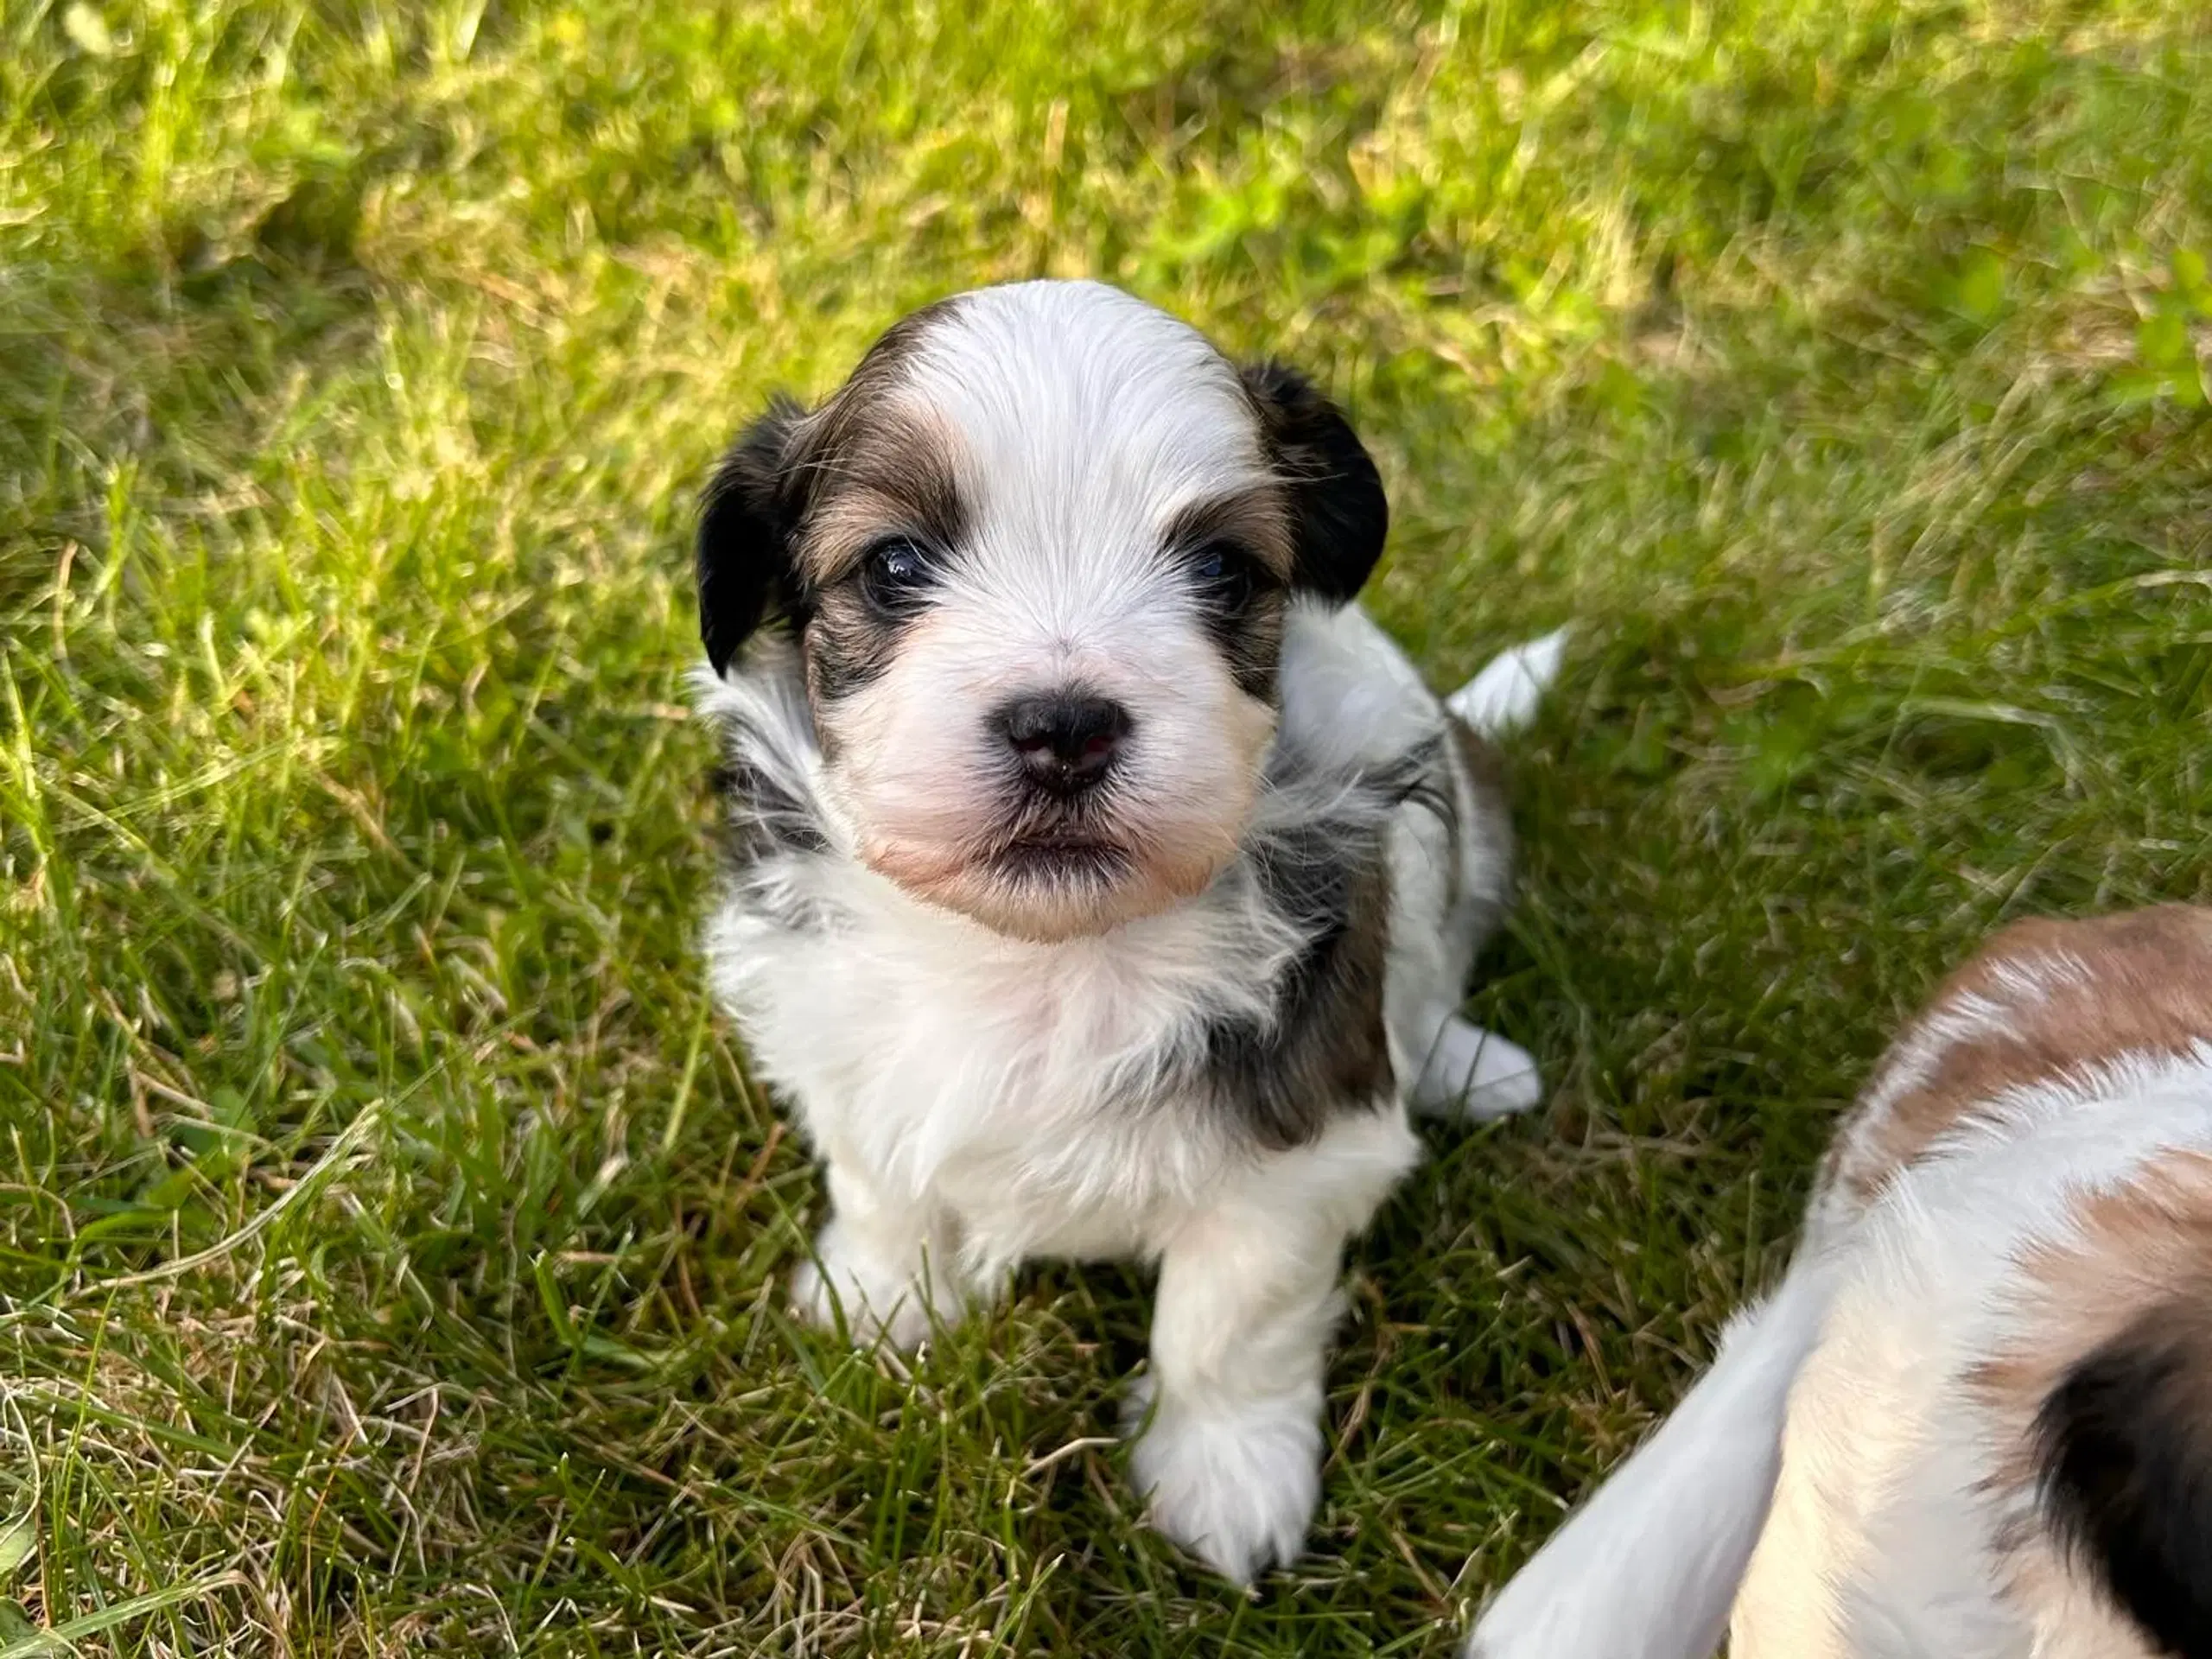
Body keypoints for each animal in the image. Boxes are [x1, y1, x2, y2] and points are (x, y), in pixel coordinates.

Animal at [681, 283, 1566, 1583]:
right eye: (893, 565)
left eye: (1222, 569)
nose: (1063, 728)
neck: (1041, 953)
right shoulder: (839, 1037)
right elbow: (880, 1184)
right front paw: (879, 1309)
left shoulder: (1298, 1142)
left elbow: (1229, 1324)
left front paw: (1224, 1480)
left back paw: (1470, 1067)